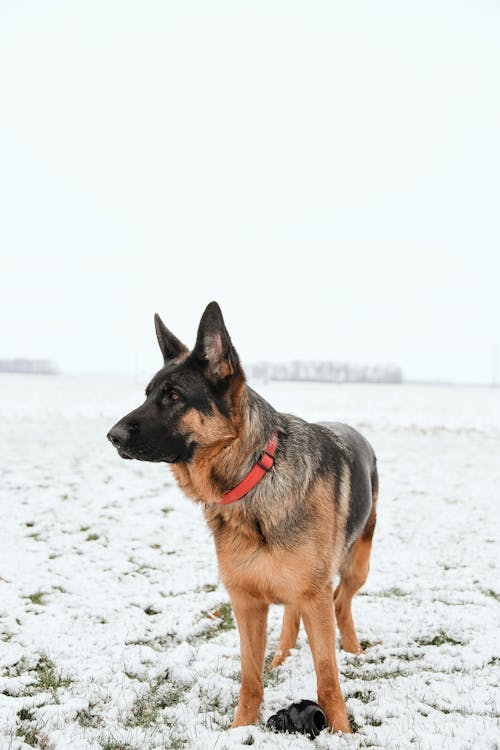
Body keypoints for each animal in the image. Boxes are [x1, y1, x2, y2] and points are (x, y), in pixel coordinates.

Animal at [107, 304, 376, 736]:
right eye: (148, 394)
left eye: (174, 396)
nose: (112, 436)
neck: (253, 477)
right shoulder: (246, 602)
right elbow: (250, 676)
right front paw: (240, 729)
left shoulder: (313, 596)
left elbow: (327, 678)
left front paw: (343, 734)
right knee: (293, 615)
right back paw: (282, 655)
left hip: (356, 566)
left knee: (343, 603)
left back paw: (352, 649)